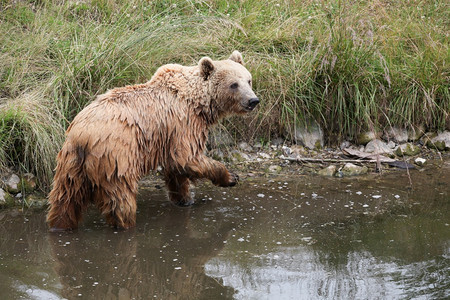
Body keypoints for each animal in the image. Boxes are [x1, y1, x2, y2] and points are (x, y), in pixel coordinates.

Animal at [46, 50, 260, 231]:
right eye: (234, 84)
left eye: (248, 80)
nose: (253, 101)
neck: (198, 103)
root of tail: (83, 135)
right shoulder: (183, 124)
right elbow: (187, 158)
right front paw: (231, 177)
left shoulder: (169, 135)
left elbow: (176, 169)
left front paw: (185, 199)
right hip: (115, 157)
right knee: (120, 198)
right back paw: (126, 224)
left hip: (69, 165)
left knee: (65, 201)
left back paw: (60, 225)